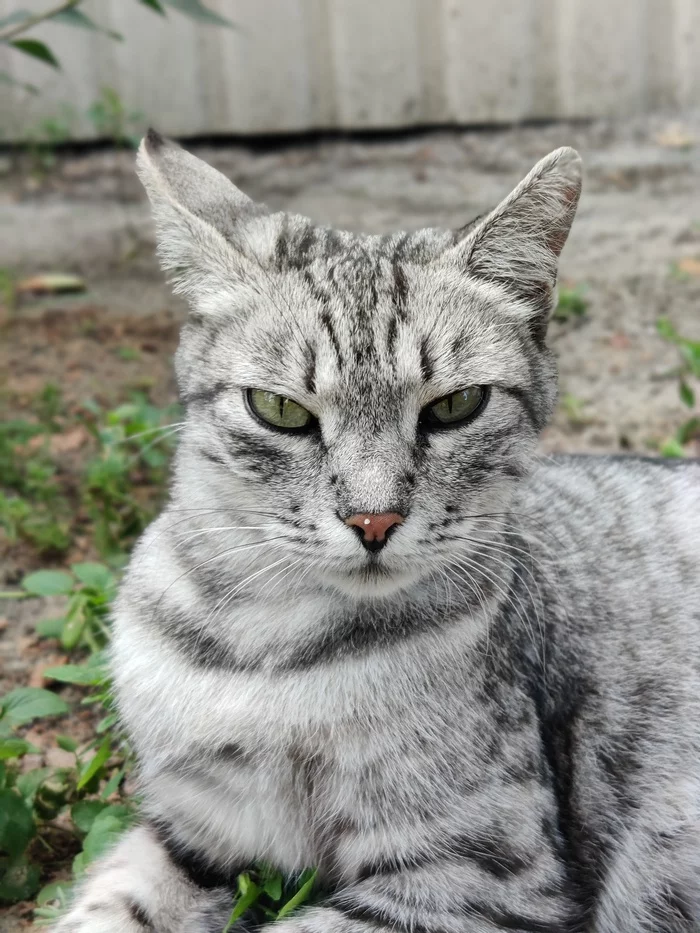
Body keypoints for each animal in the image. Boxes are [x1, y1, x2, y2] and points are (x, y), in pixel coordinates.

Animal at [53, 131, 700, 932]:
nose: (374, 518)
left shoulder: (485, 876)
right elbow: (108, 903)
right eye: (280, 410)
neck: (268, 645)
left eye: (456, 406)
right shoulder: (192, 829)